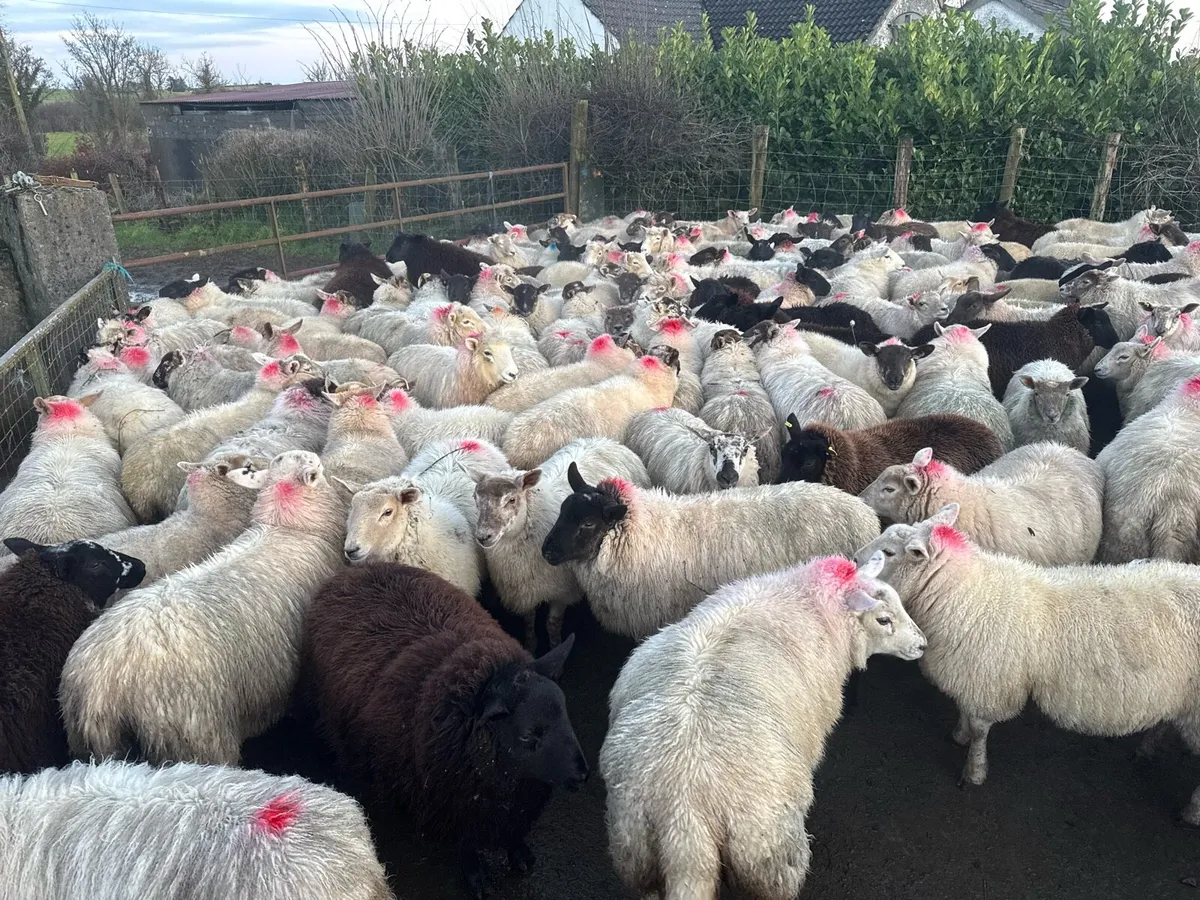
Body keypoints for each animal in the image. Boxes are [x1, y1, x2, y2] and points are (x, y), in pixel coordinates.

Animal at [301, 563, 587, 895]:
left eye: (565, 715)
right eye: (528, 734)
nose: (582, 776)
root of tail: (356, 570)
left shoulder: (517, 804)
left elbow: (514, 834)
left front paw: (519, 854)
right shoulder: (454, 805)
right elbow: (467, 847)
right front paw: (477, 879)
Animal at [474, 437, 649, 649]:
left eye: (511, 500)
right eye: (476, 498)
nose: (482, 536)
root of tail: (606, 440)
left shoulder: (562, 592)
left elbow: (552, 624)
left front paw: (555, 646)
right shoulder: (525, 591)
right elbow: (529, 620)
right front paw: (531, 645)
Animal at [600, 553, 925, 900]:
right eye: (883, 620)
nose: (923, 645)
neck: (809, 603)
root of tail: (684, 822)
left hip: (635, 853)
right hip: (768, 853)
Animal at [854, 505, 1200, 824]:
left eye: (889, 552)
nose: (854, 560)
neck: (964, 594)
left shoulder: (989, 678)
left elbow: (980, 731)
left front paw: (973, 771)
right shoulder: (973, 673)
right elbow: (965, 711)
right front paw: (959, 734)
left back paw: (1192, 812)